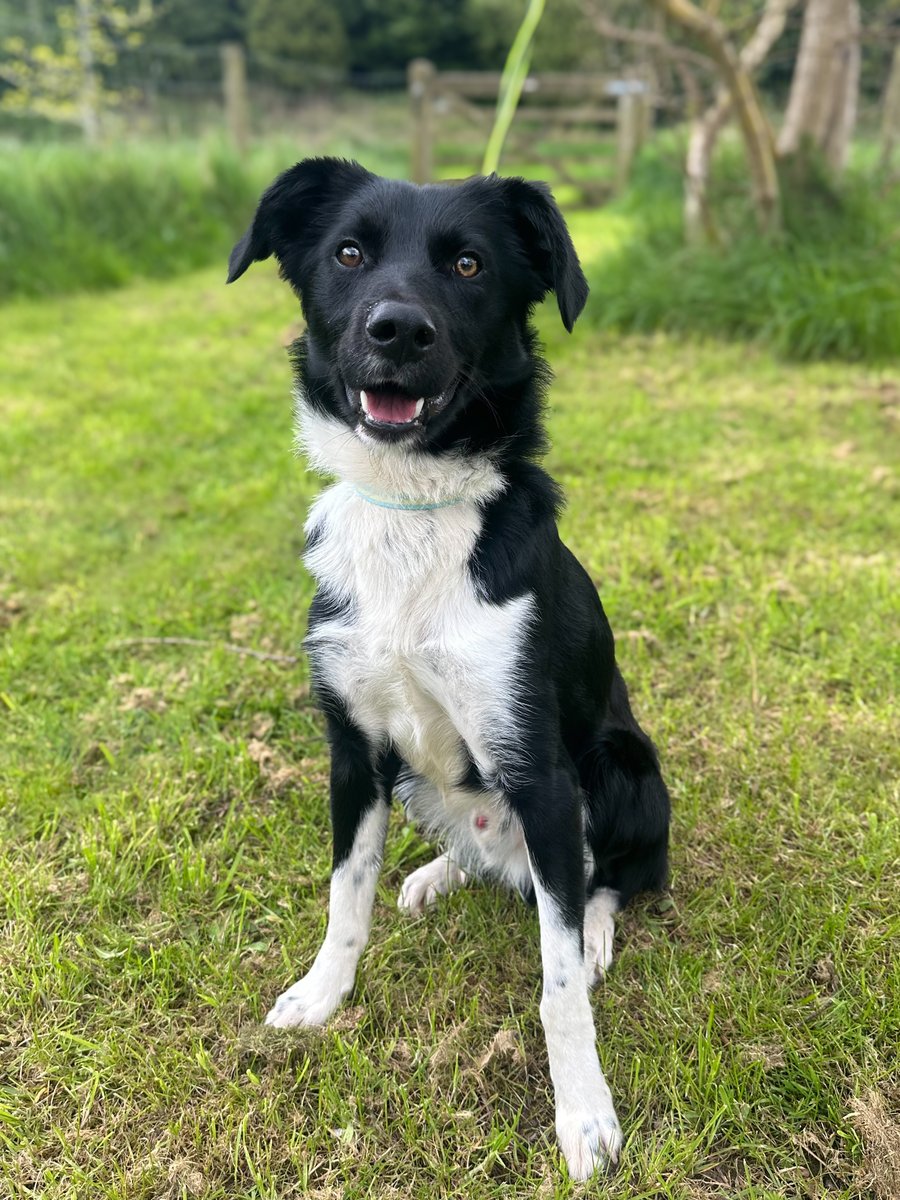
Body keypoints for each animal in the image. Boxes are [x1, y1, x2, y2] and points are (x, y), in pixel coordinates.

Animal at [229, 159, 672, 1180]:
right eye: (350, 253)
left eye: (469, 265)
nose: (397, 330)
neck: (413, 509)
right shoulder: (353, 754)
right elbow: (344, 897)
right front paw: (321, 996)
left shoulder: (540, 773)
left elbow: (557, 987)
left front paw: (583, 1113)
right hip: (422, 780)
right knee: (485, 856)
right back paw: (438, 874)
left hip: (624, 769)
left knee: (608, 876)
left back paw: (594, 923)